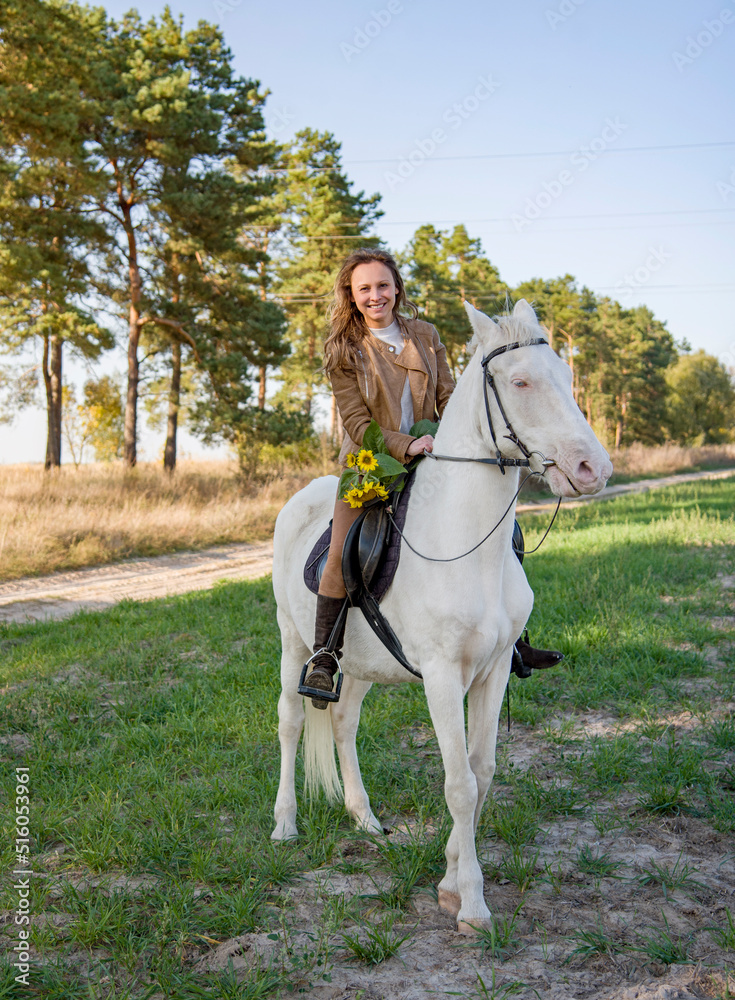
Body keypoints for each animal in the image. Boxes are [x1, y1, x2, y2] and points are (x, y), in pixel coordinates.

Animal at [268, 300, 608, 932]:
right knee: (291, 721)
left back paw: (364, 819)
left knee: (344, 721)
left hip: (360, 663)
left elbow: (482, 770)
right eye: (520, 382)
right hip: (293, 643)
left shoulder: (494, 671)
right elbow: (459, 784)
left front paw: (451, 877)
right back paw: (284, 824)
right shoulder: (444, 677)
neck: (467, 542)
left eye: (568, 377)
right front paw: (471, 904)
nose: (591, 469)